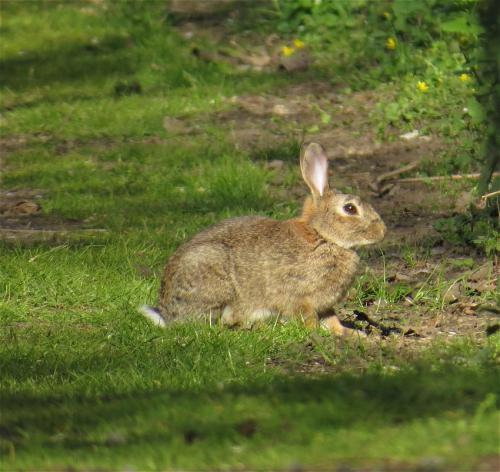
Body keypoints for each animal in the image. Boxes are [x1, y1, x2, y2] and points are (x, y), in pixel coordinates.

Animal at [141, 141, 386, 336]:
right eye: (350, 208)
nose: (382, 231)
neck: (322, 236)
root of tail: (168, 312)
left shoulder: (324, 304)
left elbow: (332, 320)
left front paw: (353, 335)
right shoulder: (299, 297)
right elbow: (308, 318)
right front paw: (317, 334)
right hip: (214, 276)